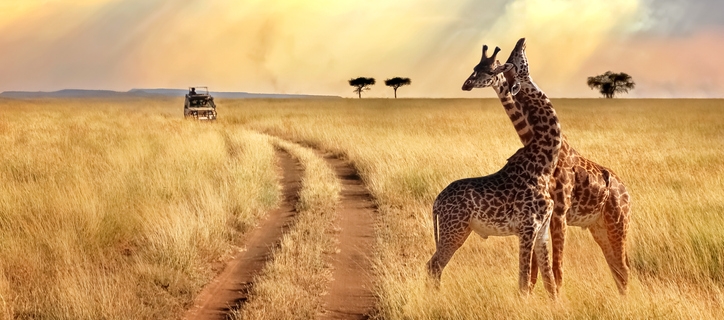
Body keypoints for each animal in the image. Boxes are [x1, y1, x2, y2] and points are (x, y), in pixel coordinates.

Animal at [428, 43, 564, 298]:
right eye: (515, 61)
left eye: (490, 69)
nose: (521, 42)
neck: (544, 164)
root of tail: (437, 202)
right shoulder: (527, 228)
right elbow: (524, 282)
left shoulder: (541, 230)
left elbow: (550, 283)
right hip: (454, 229)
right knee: (434, 266)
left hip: (459, 230)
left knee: (434, 265)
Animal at [500, 38, 632, 296]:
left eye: (514, 59)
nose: (521, 41)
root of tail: (627, 193)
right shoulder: (545, 215)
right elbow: (538, 270)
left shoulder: (558, 214)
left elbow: (555, 269)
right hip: (599, 227)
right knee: (617, 268)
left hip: (618, 223)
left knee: (623, 268)